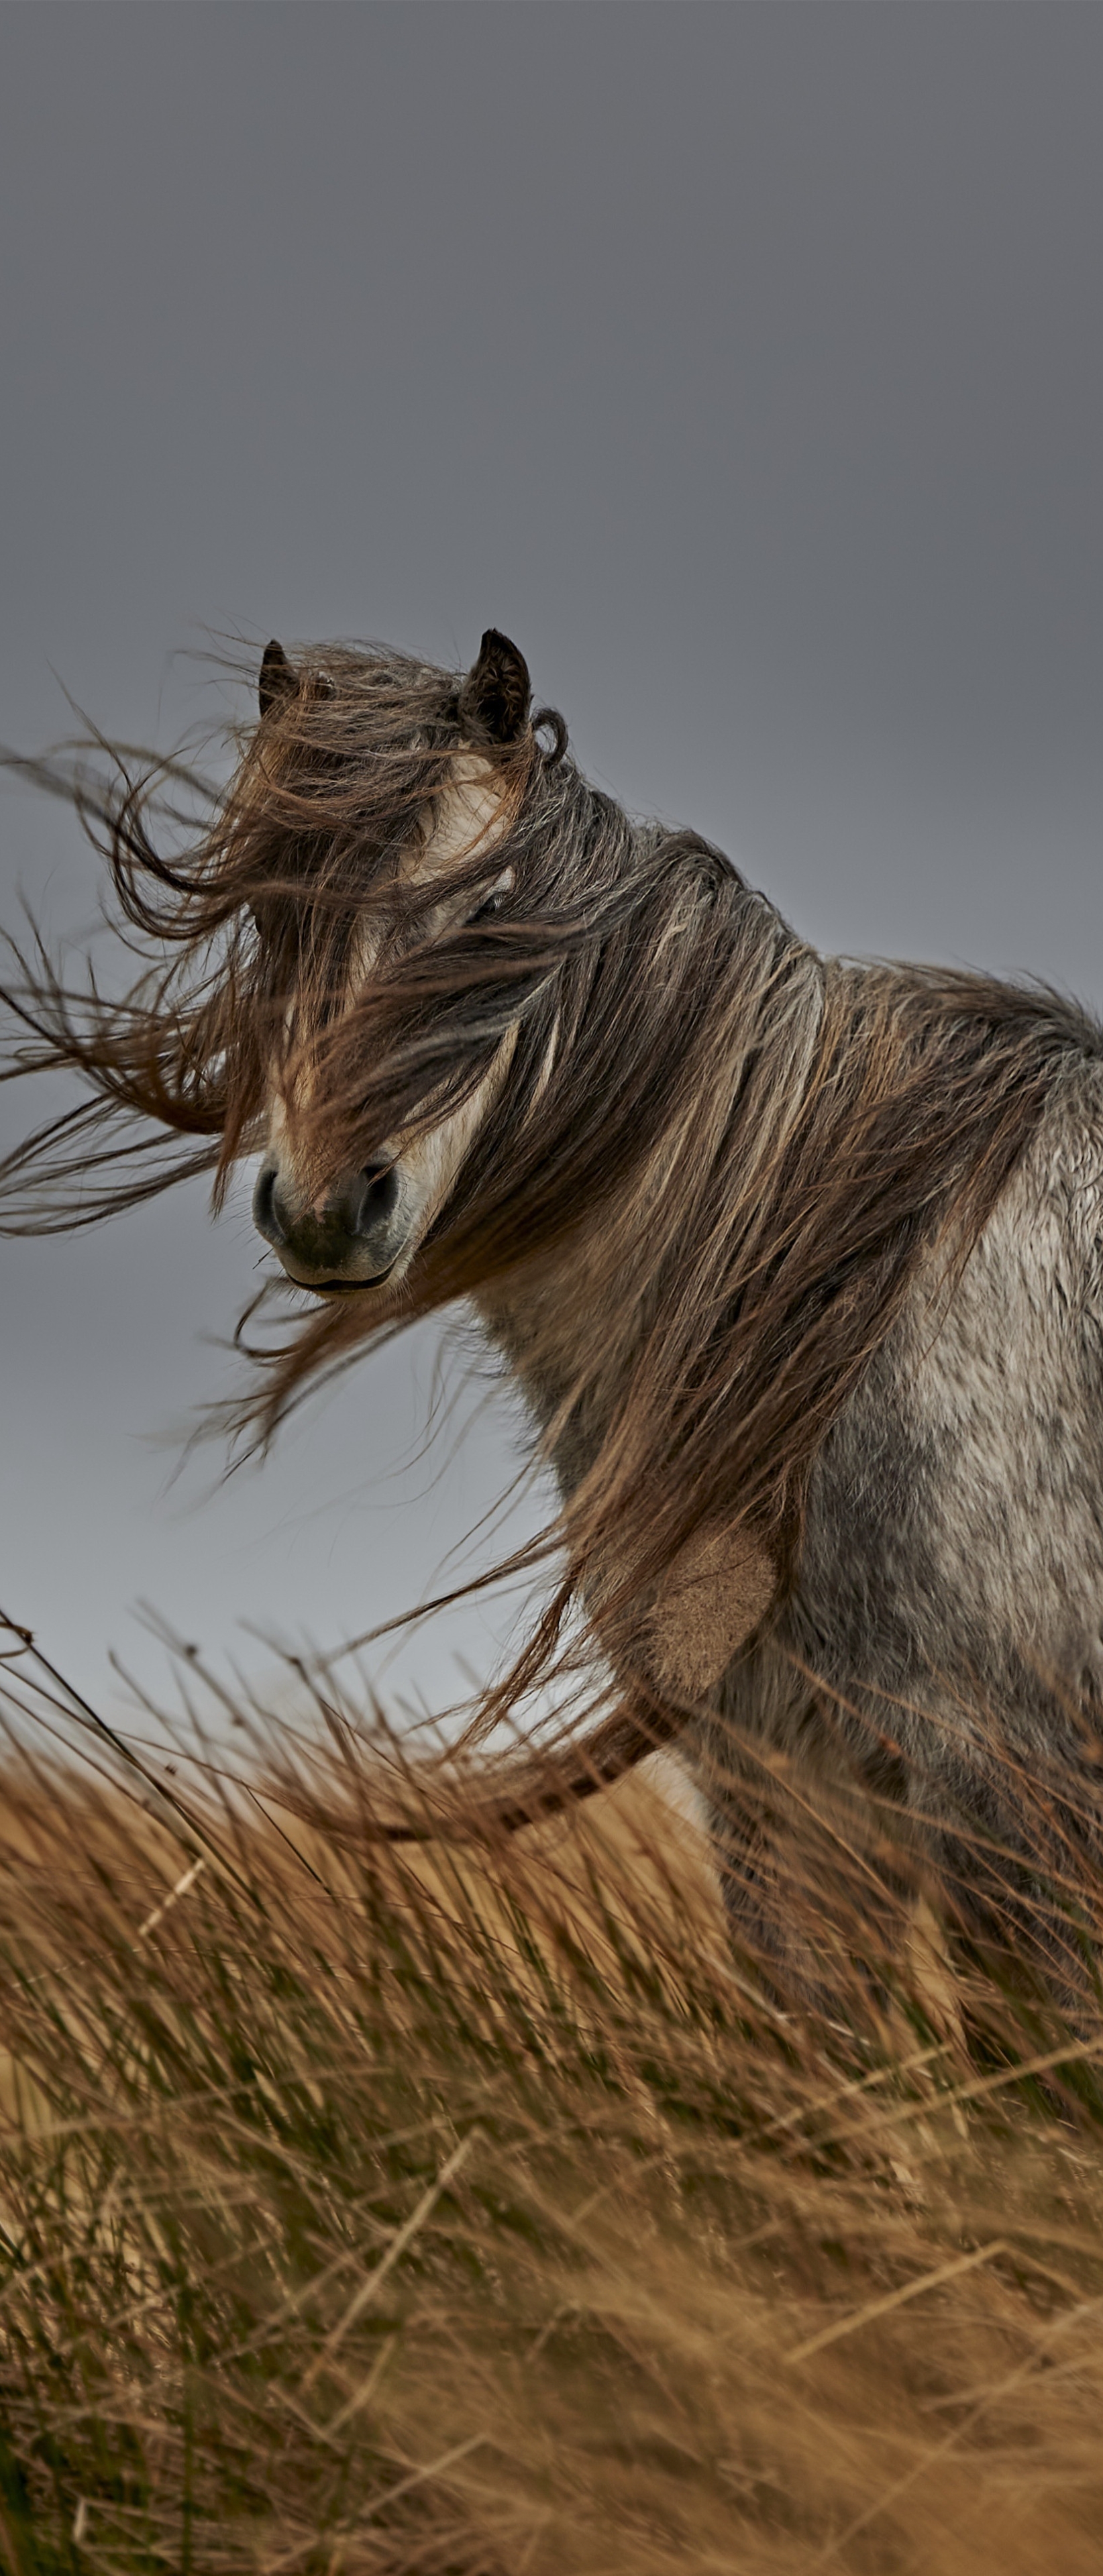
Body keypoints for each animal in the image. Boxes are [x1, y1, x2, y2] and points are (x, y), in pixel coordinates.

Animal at [2, 628, 1103, 2009]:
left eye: (490, 915)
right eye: (271, 914)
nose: (328, 1208)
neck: (851, 1317)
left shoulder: (1007, 1783)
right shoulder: (786, 1788)